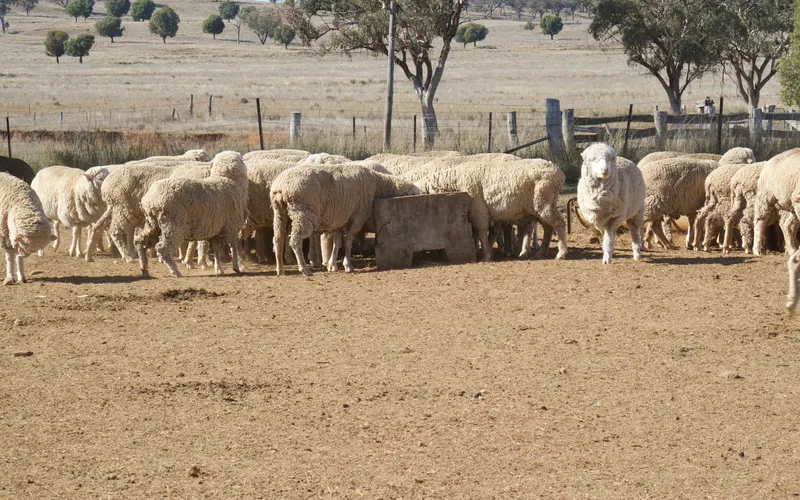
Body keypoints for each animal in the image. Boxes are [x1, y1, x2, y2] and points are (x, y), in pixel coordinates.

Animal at [270, 164, 419, 276]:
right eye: (413, 194)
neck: (377, 184)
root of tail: (280, 186)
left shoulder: (341, 220)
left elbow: (337, 243)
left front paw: (332, 265)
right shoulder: (357, 217)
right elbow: (349, 241)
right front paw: (347, 265)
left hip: (279, 213)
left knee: (278, 239)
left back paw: (280, 269)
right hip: (303, 213)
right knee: (295, 241)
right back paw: (304, 269)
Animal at [414, 159, 568, 262]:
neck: (454, 180)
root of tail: (558, 171)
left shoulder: (478, 209)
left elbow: (481, 231)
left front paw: (486, 256)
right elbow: (480, 233)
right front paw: (486, 252)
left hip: (544, 203)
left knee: (559, 223)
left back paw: (561, 253)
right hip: (539, 207)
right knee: (548, 228)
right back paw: (540, 253)